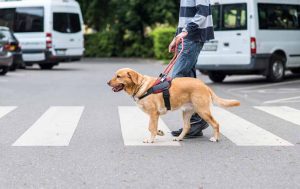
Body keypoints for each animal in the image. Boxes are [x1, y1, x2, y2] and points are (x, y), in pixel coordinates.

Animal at [106, 68, 240, 143]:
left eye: (118, 76)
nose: (107, 82)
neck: (141, 86)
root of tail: (204, 85)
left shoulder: (154, 113)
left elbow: (151, 127)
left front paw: (151, 139)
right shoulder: (154, 115)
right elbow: (152, 127)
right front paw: (159, 132)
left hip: (202, 110)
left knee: (215, 124)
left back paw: (215, 138)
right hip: (186, 112)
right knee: (187, 127)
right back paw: (179, 138)